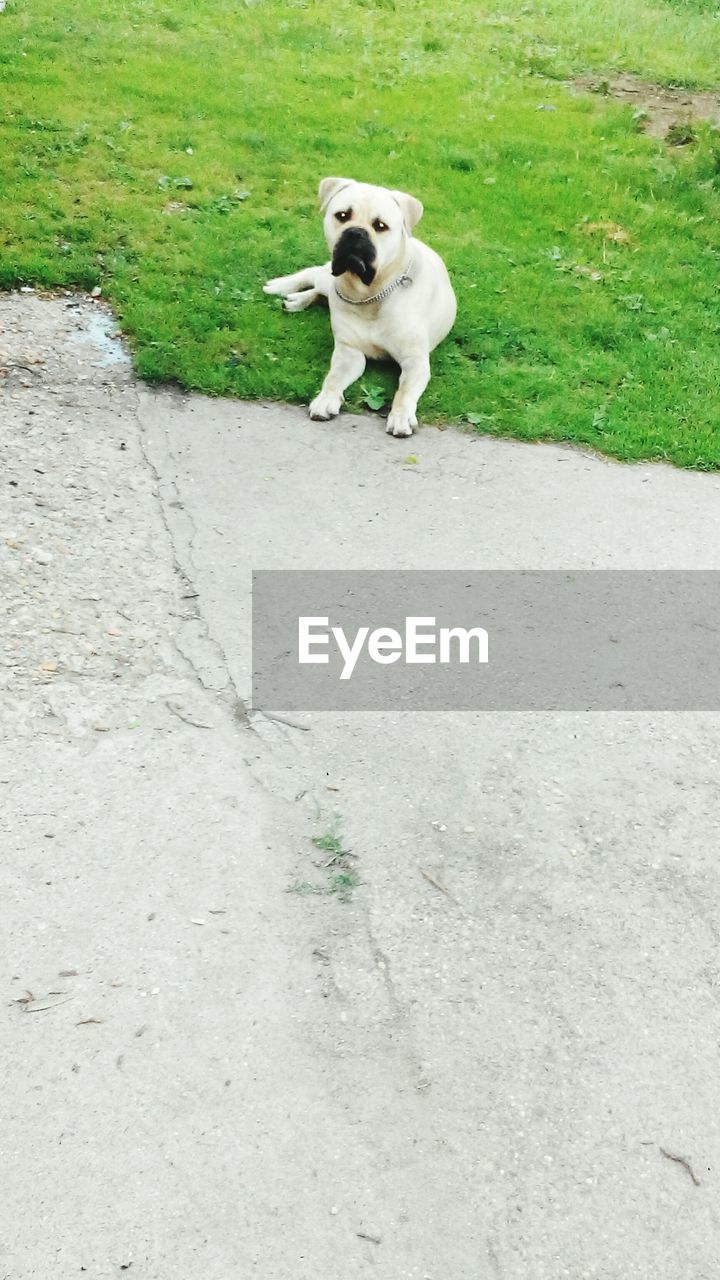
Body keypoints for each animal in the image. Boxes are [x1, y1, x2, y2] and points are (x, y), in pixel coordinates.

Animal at [262, 177, 453, 440]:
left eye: (380, 225)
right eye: (342, 215)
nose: (356, 232)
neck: (369, 295)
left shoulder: (415, 361)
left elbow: (404, 391)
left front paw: (401, 416)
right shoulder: (349, 352)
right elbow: (334, 377)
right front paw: (326, 398)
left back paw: (297, 299)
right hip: (329, 280)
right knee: (316, 275)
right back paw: (283, 286)